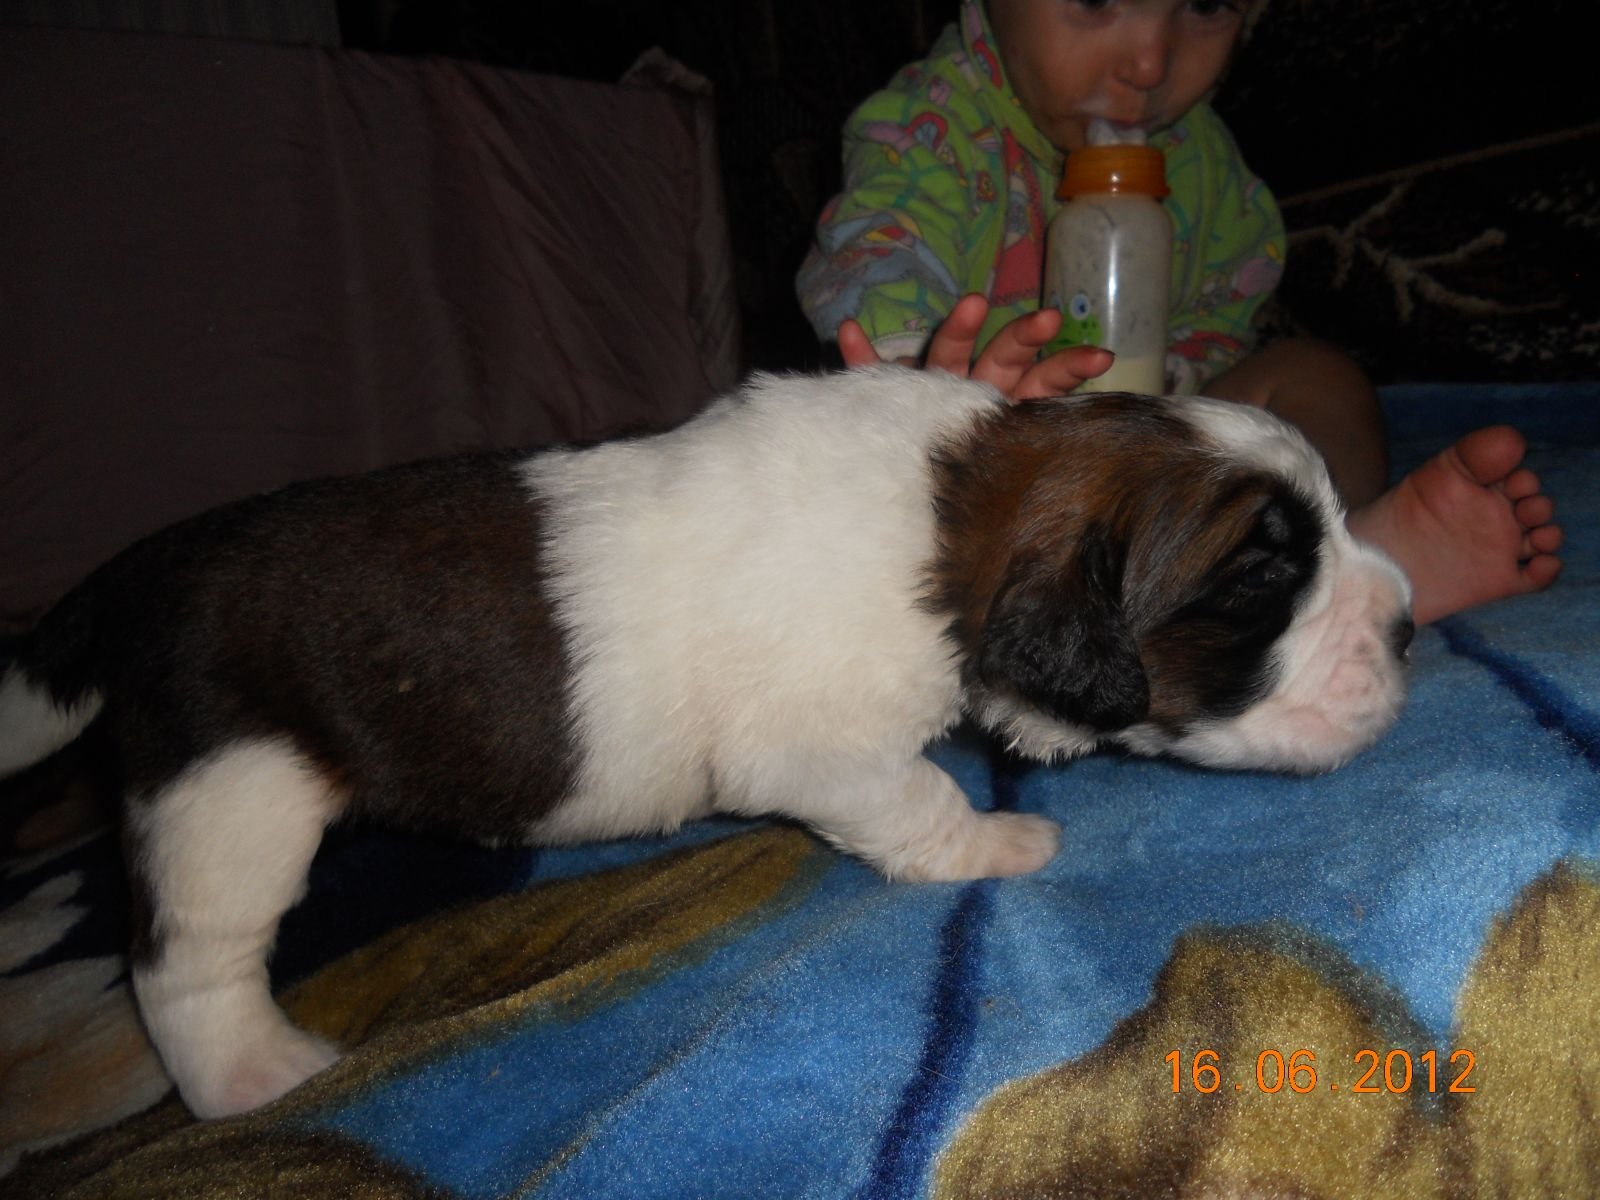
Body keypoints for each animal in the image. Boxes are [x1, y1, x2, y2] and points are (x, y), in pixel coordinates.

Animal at [0, 365, 1413, 1118]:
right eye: (1262, 577)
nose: (1405, 624)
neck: (951, 517)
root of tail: (133, 575)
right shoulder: (819, 750)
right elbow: (914, 799)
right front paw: (996, 841)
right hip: (230, 789)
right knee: (184, 961)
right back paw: (252, 1075)